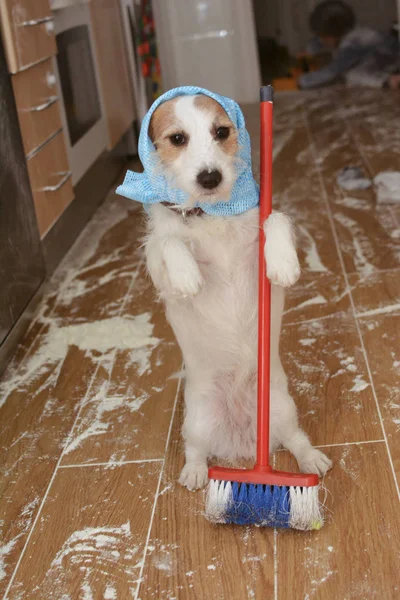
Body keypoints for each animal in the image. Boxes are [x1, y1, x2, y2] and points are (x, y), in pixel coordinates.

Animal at [141, 92, 332, 488]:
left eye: (221, 132)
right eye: (177, 139)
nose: (210, 177)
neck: (212, 215)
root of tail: (242, 441)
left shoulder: (261, 238)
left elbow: (276, 219)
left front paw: (283, 262)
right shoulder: (161, 271)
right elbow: (168, 242)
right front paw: (187, 275)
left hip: (281, 408)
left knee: (296, 439)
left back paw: (311, 461)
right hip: (197, 420)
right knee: (195, 449)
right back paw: (195, 473)